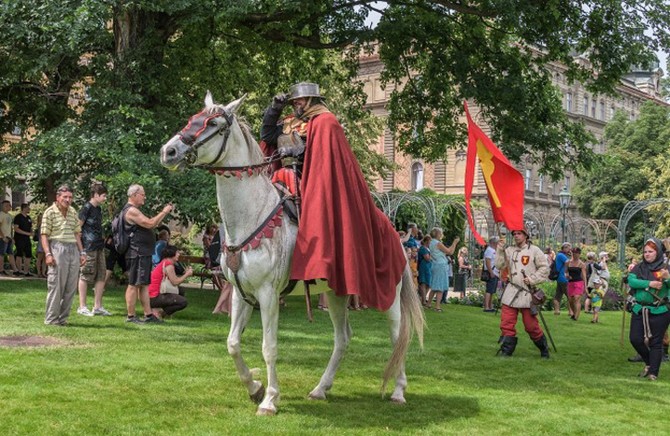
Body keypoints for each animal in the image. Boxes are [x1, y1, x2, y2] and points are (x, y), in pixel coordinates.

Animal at [160, 93, 426, 416]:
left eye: (213, 123)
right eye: (193, 118)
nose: (169, 151)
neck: (252, 214)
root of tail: (397, 236)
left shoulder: (268, 294)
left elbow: (269, 347)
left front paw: (270, 399)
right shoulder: (239, 292)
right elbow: (233, 343)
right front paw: (254, 387)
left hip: (390, 295)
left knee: (398, 335)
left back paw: (398, 390)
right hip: (337, 293)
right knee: (342, 338)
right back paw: (320, 388)